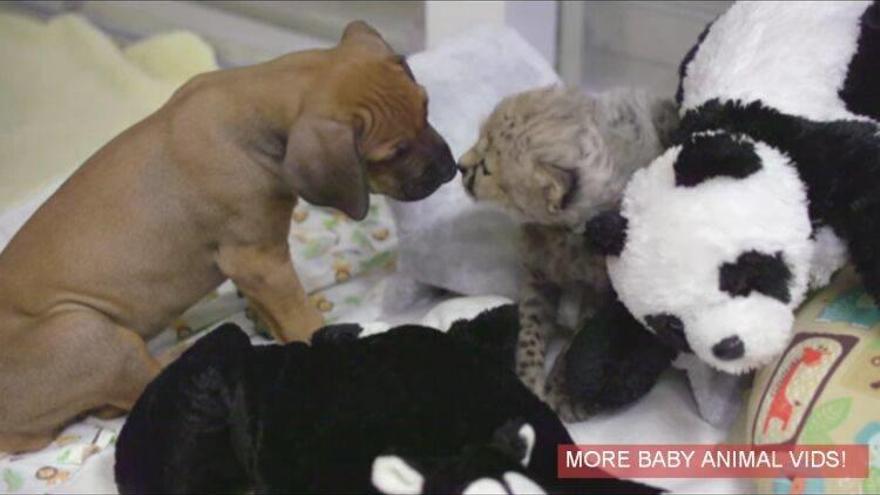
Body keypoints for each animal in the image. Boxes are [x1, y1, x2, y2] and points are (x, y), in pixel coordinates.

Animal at [0, 21, 455, 453]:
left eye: (426, 106)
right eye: (394, 153)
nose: (451, 169)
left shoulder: (252, 264)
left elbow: (270, 303)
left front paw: (266, 322)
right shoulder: (258, 257)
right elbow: (299, 313)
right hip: (86, 333)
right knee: (138, 388)